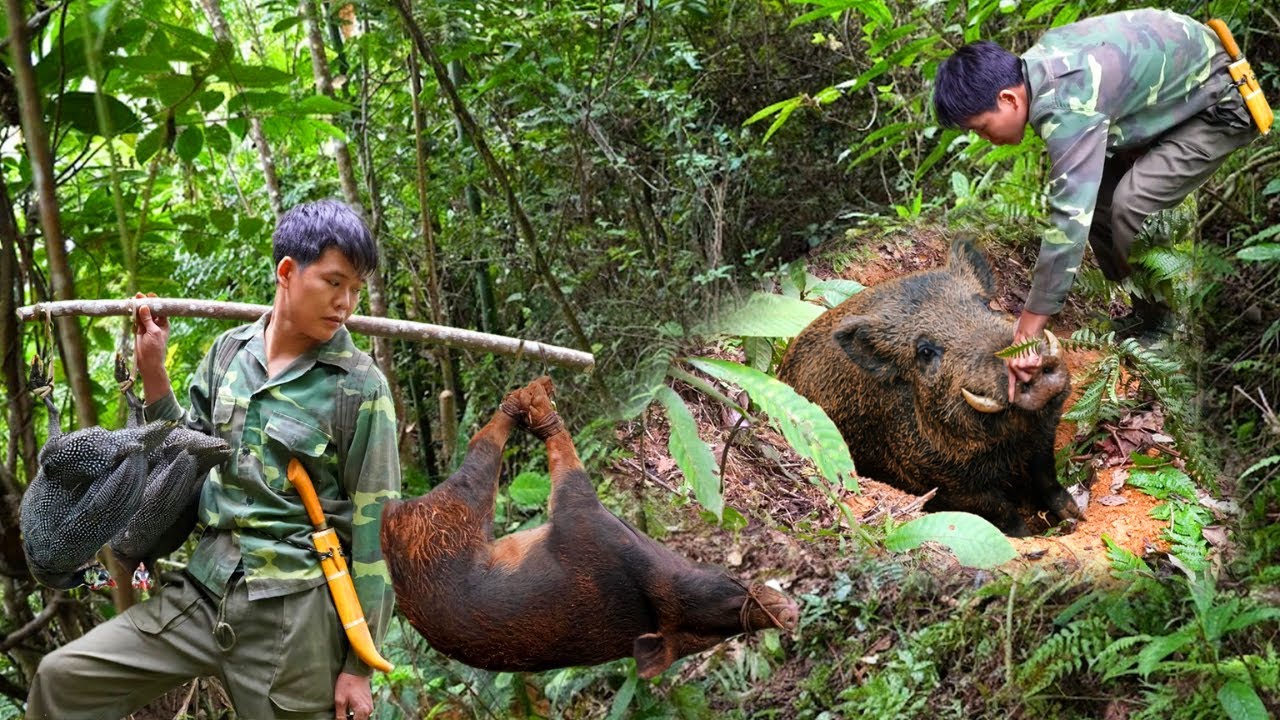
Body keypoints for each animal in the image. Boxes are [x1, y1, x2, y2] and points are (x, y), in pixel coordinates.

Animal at [381, 377, 799, 678]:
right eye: (731, 594)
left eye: (725, 628)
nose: (789, 615)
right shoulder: (587, 521)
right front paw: (539, 398)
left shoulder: (581, 517)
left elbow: (568, 466)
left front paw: (537, 403)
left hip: (448, 512)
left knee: (478, 453)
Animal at [776, 239, 1082, 536]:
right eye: (925, 351)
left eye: (986, 304)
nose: (1029, 368)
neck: (1013, 438)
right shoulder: (944, 482)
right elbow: (1001, 512)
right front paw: (1027, 535)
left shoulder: (1044, 435)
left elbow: (1045, 475)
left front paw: (1075, 515)